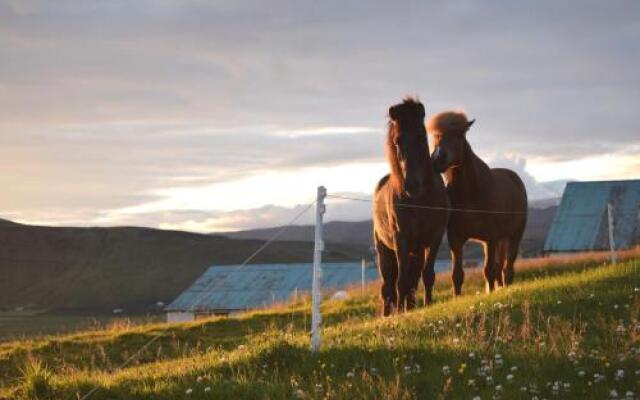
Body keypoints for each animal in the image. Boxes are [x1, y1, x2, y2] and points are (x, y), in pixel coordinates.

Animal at [372, 97, 448, 316]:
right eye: (397, 141)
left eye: (422, 136)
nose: (412, 185)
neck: (421, 201)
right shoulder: (401, 240)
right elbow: (401, 282)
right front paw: (400, 312)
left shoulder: (435, 237)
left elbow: (427, 275)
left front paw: (428, 303)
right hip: (385, 251)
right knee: (388, 287)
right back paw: (389, 314)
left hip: (417, 251)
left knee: (412, 283)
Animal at [428, 111, 528, 294]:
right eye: (435, 137)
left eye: (458, 136)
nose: (436, 161)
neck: (471, 194)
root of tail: (515, 177)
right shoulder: (456, 239)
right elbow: (457, 275)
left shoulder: (490, 239)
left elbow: (488, 271)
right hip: (500, 240)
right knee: (500, 267)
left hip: (514, 235)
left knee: (507, 267)